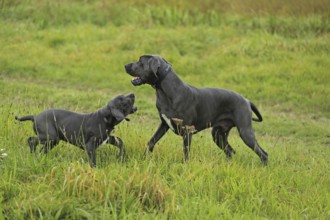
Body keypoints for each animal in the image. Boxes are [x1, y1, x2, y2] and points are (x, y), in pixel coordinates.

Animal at [125, 54, 268, 164]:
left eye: (141, 61)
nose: (125, 65)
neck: (166, 90)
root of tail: (247, 100)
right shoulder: (164, 124)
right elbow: (151, 142)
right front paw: (144, 158)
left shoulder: (187, 131)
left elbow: (186, 152)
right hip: (218, 135)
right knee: (231, 151)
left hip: (245, 132)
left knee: (263, 154)